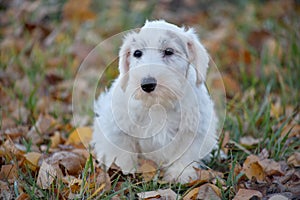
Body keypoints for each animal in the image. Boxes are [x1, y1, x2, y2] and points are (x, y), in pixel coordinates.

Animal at [92, 20, 218, 183]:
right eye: (137, 53)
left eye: (169, 51)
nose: (147, 84)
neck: (158, 103)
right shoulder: (117, 128)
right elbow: (123, 152)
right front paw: (126, 171)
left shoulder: (194, 130)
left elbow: (185, 155)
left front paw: (180, 175)